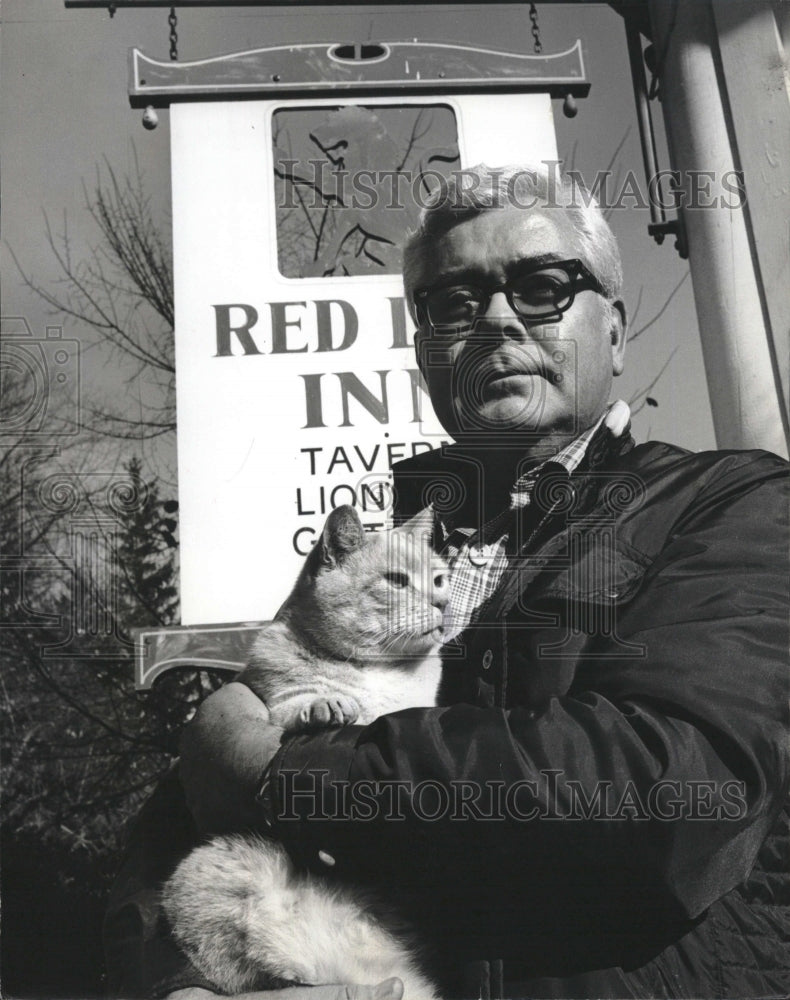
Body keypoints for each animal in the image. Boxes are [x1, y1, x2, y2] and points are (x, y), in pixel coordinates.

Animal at [162, 508, 448, 1000]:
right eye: (397, 580)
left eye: (439, 579)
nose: (444, 603)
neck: (380, 672)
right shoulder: (273, 701)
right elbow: (303, 703)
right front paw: (326, 706)